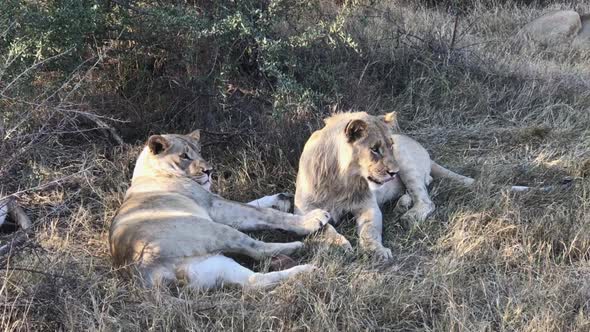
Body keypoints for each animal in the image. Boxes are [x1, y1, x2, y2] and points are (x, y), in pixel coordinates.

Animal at [110, 131, 332, 290]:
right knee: (257, 249)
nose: (209, 171)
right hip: (211, 229)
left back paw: (307, 270)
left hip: (213, 267)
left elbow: (255, 203)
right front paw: (312, 218)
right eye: (184, 156)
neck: (149, 172)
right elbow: (263, 213)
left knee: (254, 282)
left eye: (200, 152)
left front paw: (281, 198)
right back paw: (298, 247)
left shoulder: (215, 202)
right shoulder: (215, 206)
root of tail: (143, 271)